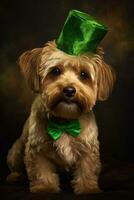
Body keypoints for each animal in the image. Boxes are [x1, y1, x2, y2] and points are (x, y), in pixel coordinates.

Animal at [6, 41, 115, 194]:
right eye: (55, 71)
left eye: (83, 74)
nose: (69, 90)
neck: (65, 122)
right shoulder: (37, 149)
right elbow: (41, 170)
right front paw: (45, 188)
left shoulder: (88, 148)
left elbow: (87, 169)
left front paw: (88, 188)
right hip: (16, 150)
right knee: (16, 166)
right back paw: (15, 176)